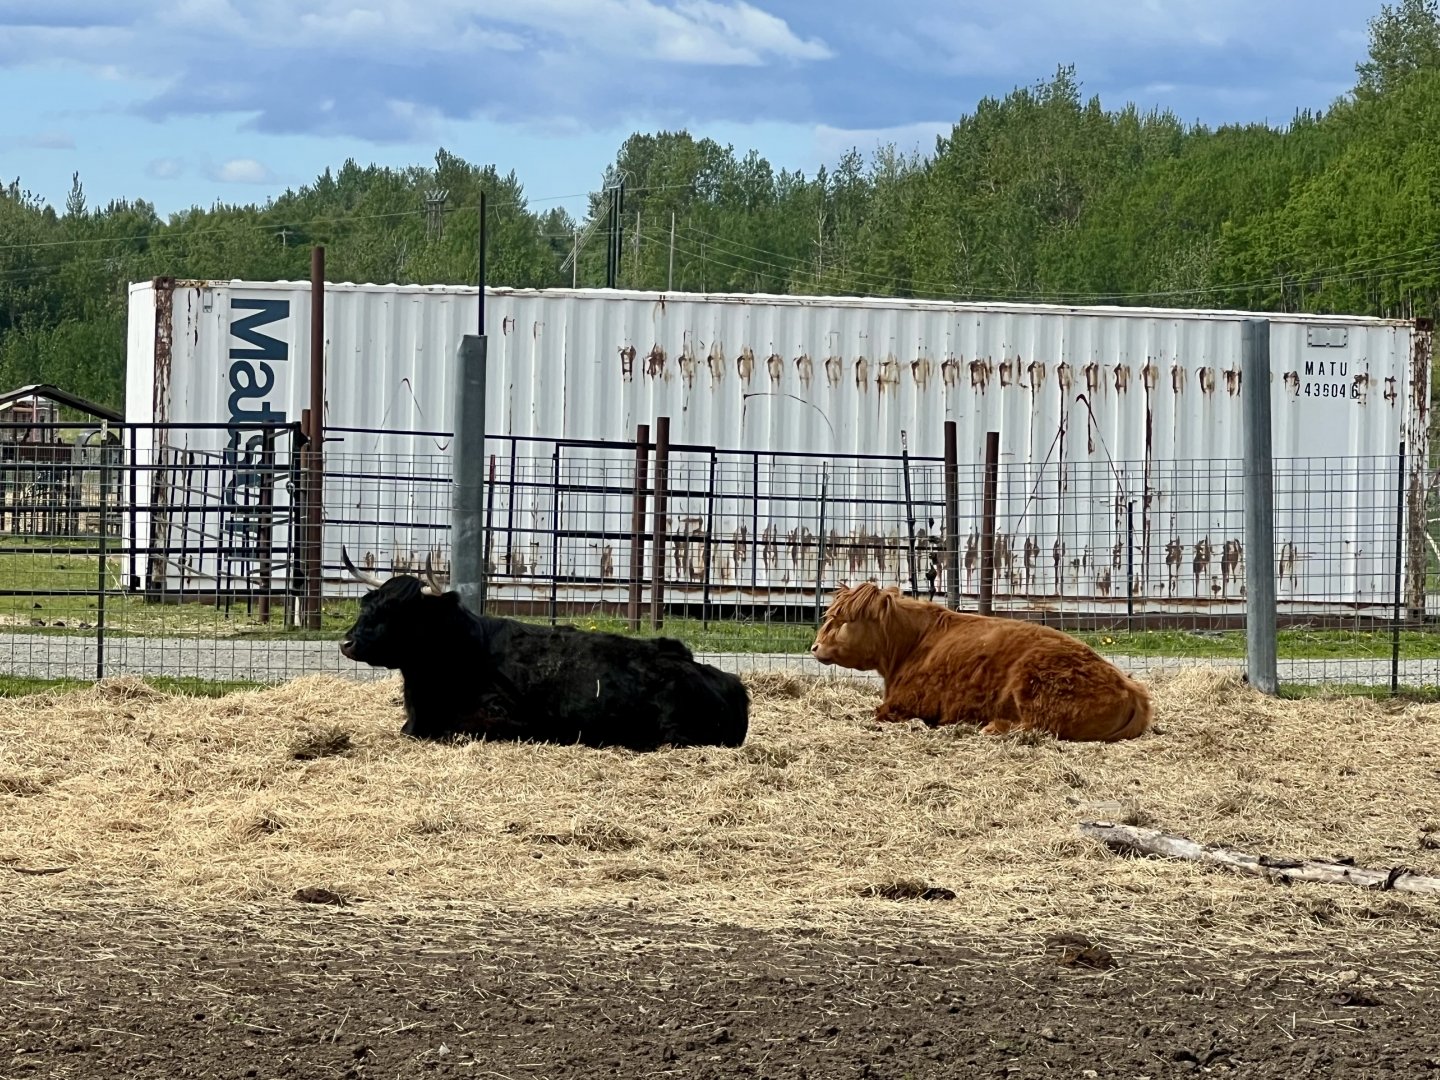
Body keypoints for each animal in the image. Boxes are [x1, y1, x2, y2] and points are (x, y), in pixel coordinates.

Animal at [810, 582, 1152, 742]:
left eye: (841, 620)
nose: (814, 647)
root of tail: (1130, 687)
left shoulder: (903, 704)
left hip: (1036, 686)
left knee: (1036, 725)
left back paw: (990, 727)